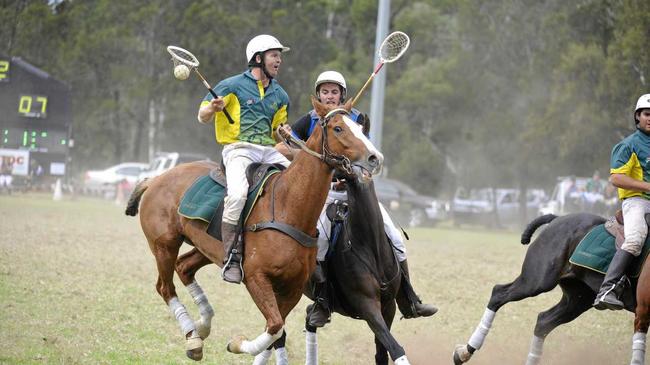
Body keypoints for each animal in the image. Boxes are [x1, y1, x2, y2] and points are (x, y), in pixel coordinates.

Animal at [124, 96, 382, 362]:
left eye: (361, 128)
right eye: (338, 128)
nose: (375, 158)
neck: (289, 207)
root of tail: (155, 179)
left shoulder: (292, 287)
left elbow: (276, 328)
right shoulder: (256, 277)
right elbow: (275, 325)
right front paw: (237, 343)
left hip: (208, 248)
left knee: (184, 267)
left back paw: (202, 325)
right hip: (164, 244)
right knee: (165, 287)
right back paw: (193, 338)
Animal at [450, 213, 648, 364]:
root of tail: (557, 218)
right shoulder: (643, 308)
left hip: (578, 297)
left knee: (544, 321)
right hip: (537, 280)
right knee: (499, 293)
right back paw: (466, 350)